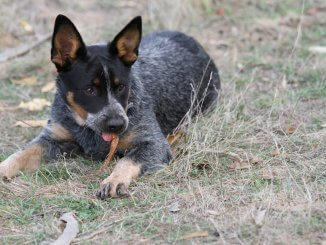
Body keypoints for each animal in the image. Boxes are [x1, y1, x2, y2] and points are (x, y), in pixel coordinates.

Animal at [0, 14, 220, 199]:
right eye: (89, 90)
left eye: (121, 87)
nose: (117, 124)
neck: (89, 131)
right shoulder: (52, 138)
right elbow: (21, 153)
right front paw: (3, 168)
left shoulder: (154, 143)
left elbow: (127, 160)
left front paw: (114, 180)